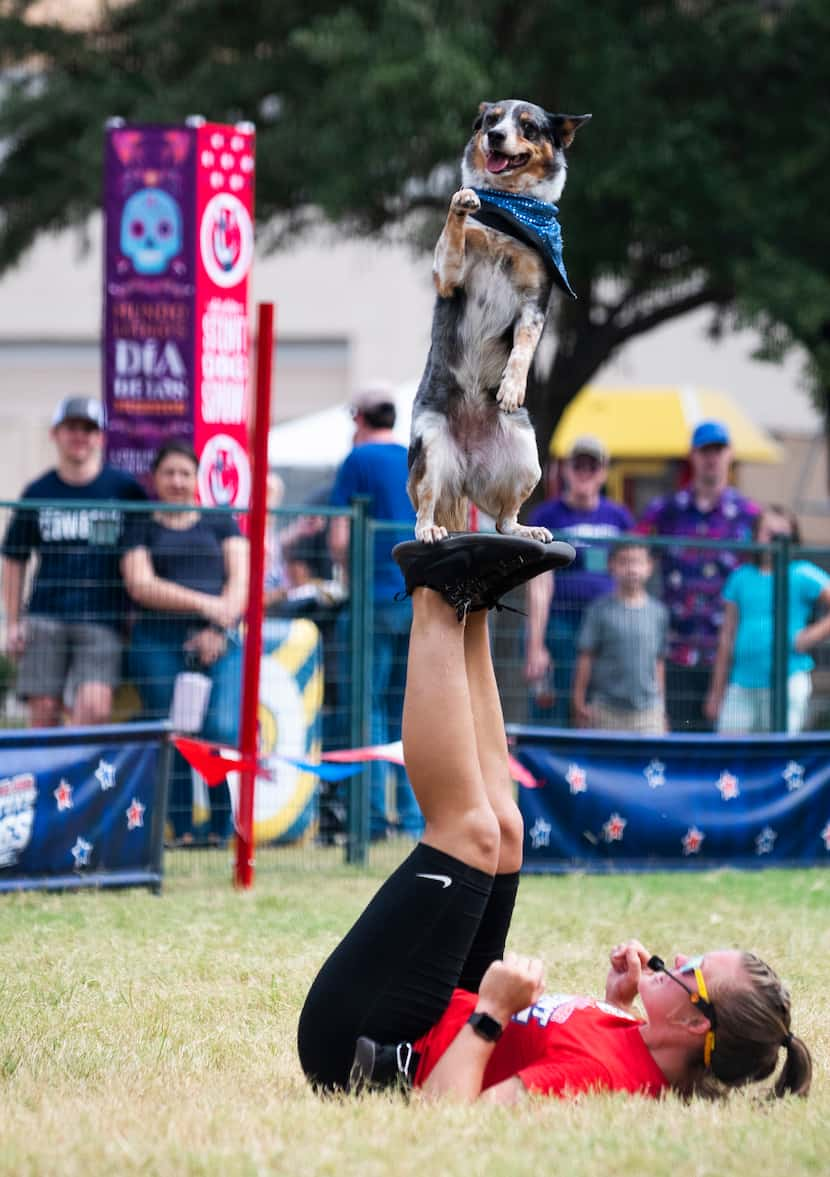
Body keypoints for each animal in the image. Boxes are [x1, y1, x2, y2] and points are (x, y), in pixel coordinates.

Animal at [407, 100, 588, 541]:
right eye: (491, 120)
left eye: (528, 126)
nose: (495, 136)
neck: (509, 211)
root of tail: (466, 471)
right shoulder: (449, 276)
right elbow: (453, 233)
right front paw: (463, 200)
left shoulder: (535, 302)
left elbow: (523, 350)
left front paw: (511, 389)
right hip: (431, 448)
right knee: (425, 507)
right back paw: (430, 531)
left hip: (529, 460)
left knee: (505, 521)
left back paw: (527, 529)